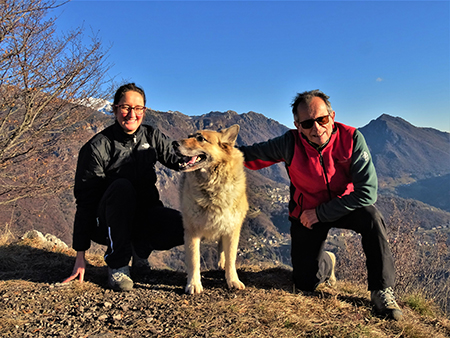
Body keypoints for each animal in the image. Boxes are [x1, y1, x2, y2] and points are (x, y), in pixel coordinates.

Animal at [175, 124, 250, 294]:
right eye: (189, 136)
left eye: (200, 138)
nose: (174, 143)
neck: (212, 186)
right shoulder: (192, 231)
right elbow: (194, 260)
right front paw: (194, 283)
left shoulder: (232, 229)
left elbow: (231, 258)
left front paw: (232, 280)